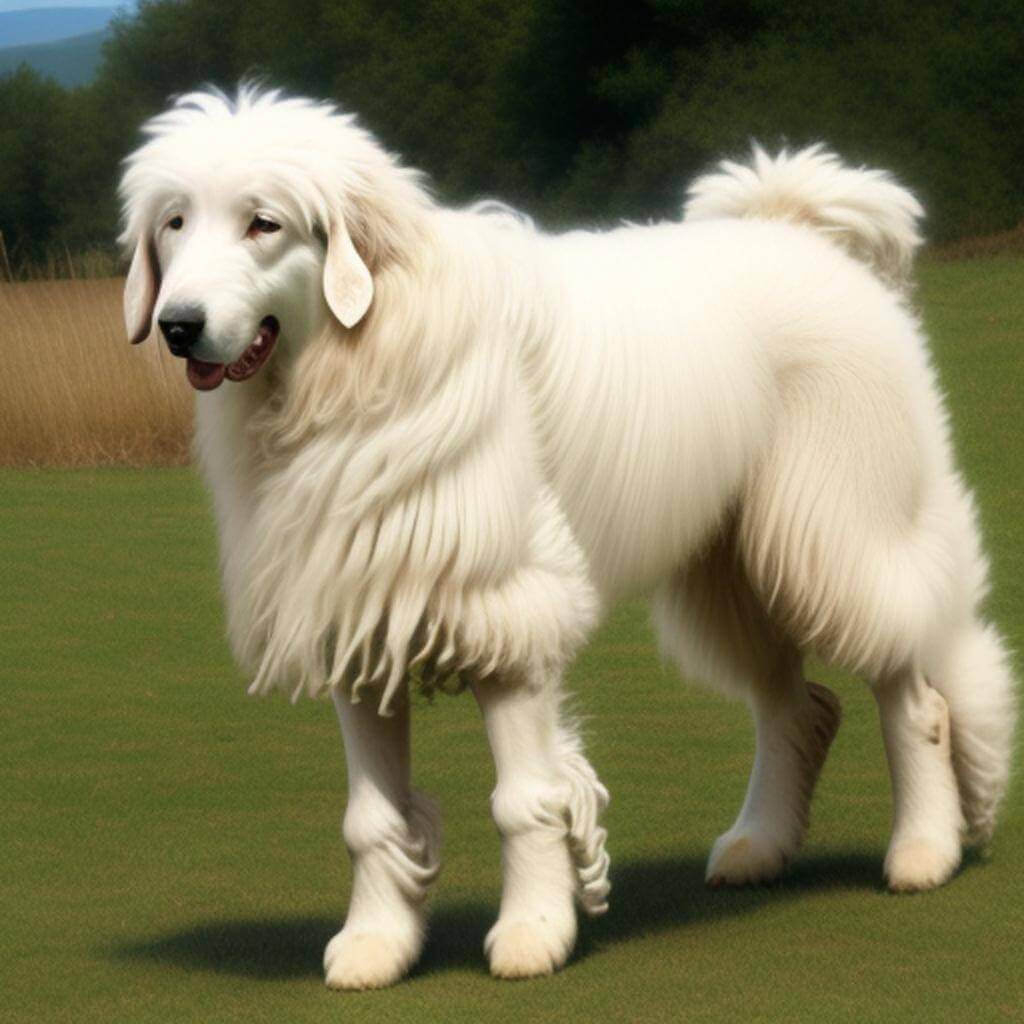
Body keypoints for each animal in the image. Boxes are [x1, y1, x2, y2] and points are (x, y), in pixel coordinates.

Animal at [119, 90, 1015, 991]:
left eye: (263, 223)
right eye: (174, 224)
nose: (177, 326)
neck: (361, 355)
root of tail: (799, 229)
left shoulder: (508, 620)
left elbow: (525, 801)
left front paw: (534, 933)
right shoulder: (361, 618)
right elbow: (371, 818)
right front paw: (375, 944)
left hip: (838, 532)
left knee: (917, 693)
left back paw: (923, 851)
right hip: (732, 565)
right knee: (797, 706)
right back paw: (758, 846)